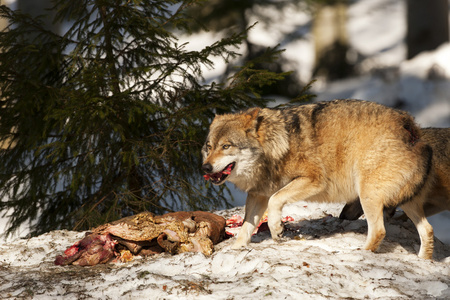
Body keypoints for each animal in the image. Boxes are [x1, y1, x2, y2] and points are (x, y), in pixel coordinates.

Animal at [202, 100, 434, 258]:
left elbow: (276, 200)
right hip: (406, 202)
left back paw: (360, 254)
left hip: (367, 194)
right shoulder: (258, 195)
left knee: (378, 231)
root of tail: (409, 125)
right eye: (209, 147)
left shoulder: (313, 180)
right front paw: (236, 249)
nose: (205, 167)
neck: (275, 148)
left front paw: (277, 230)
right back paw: (423, 262)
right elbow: (246, 227)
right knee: (428, 230)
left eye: (226, 146)